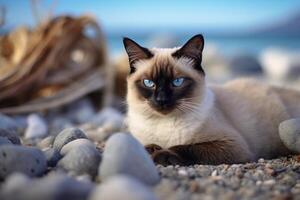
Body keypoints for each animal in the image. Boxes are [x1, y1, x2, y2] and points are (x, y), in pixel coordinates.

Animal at [122, 34, 300, 166]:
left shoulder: (232, 145)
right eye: (149, 83)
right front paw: (151, 150)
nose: (161, 100)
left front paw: (162, 155)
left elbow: (186, 147)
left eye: (177, 82)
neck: (162, 125)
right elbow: (146, 146)